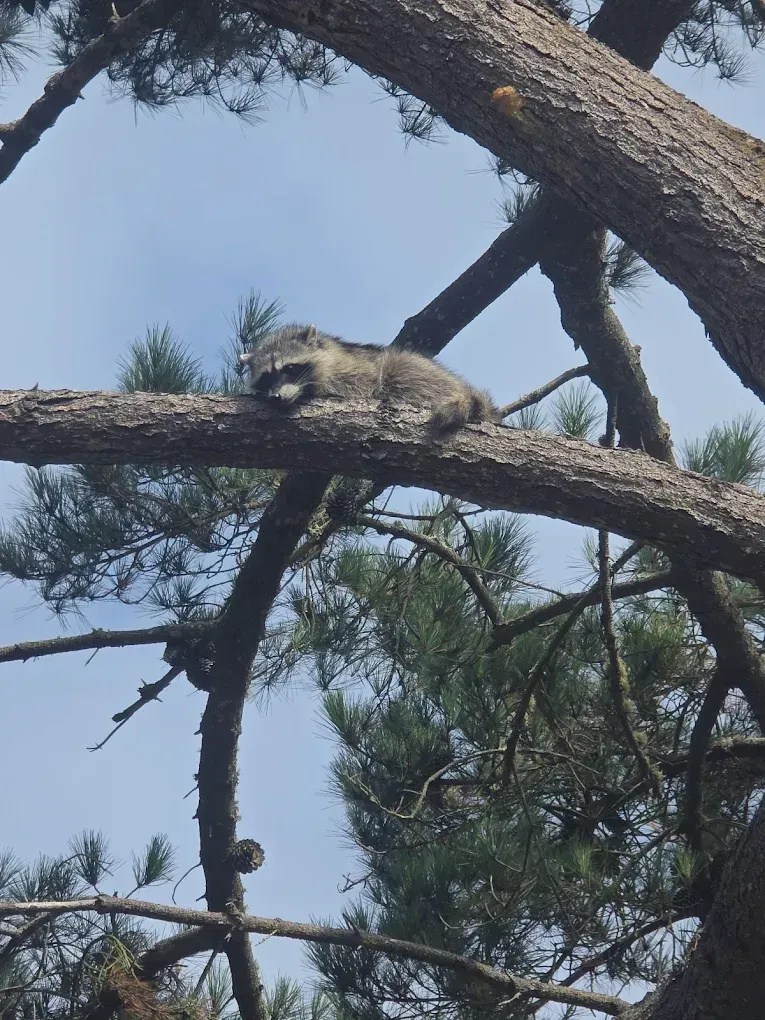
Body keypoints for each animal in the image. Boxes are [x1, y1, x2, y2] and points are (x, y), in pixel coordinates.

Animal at [239, 324, 500, 431]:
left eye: (289, 368)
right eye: (266, 377)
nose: (276, 397)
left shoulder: (353, 369)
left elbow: (363, 384)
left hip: (424, 374)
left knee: (401, 367)